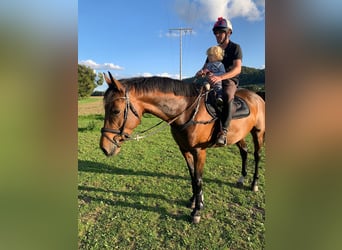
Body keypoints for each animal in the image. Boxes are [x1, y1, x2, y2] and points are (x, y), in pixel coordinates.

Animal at [99, 71, 264, 224]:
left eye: (116, 111)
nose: (104, 147)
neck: (187, 112)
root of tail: (257, 96)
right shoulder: (184, 149)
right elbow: (192, 176)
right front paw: (194, 201)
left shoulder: (199, 152)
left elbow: (198, 179)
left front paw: (197, 211)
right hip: (239, 135)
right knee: (244, 152)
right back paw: (241, 178)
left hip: (258, 133)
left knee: (257, 156)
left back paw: (254, 184)